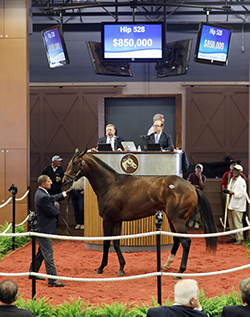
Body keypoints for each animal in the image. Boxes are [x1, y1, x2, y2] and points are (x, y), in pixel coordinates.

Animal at [64, 149, 217, 276]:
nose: (65, 179)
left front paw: (101, 267)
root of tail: (192, 187)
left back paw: (180, 271)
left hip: (177, 220)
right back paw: (166, 265)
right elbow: (116, 243)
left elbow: (107, 242)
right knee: (177, 240)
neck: (111, 185)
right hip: (171, 219)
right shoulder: (117, 220)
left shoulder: (107, 220)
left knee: (186, 242)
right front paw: (121, 268)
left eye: (75, 163)